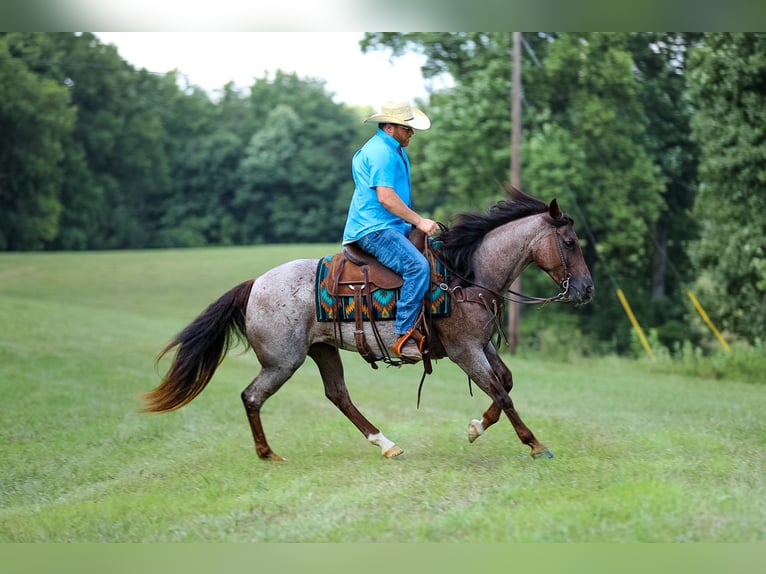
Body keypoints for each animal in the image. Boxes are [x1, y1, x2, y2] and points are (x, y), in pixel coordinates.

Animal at [143, 187, 594, 461]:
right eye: (570, 242)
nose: (587, 289)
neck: (465, 275)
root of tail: (255, 284)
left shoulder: (483, 345)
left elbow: (506, 384)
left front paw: (482, 429)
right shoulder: (465, 351)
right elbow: (502, 394)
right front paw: (532, 444)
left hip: (321, 350)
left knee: (337, 395)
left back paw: (385, 443)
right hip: (282, 362)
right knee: (252, 396)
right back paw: (268, 454)